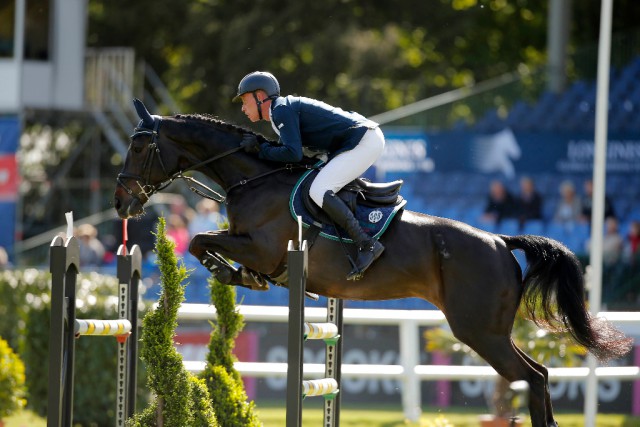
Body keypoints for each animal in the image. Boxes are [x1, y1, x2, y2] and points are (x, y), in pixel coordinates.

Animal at [114, 98, 632, 426]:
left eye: (139, 146)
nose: (121, 204)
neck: (253, 179)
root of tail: (501, 242)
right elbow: (207, 243)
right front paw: (239, 275)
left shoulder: (261, 246)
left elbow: (201, 240)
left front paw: (230, 272)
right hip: (490, 331)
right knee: (539, 376)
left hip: (478, 330)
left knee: (532, 378)